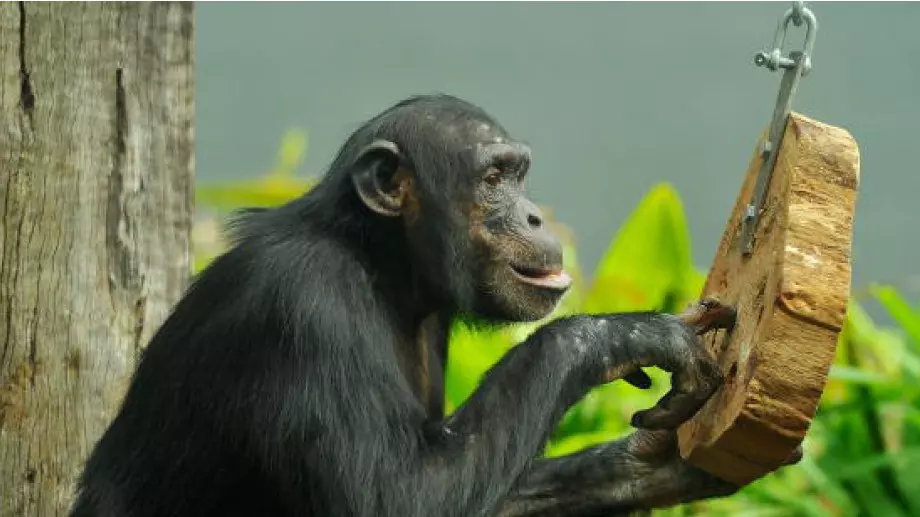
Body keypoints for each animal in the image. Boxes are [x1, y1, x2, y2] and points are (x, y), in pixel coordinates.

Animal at [70, 93, 784, 516]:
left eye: (520, 174)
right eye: (494, 178)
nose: (533, 213)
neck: (383, 267)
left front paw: (645, 466)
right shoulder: (301, 305)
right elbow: (400, 495)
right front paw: (623, 336)